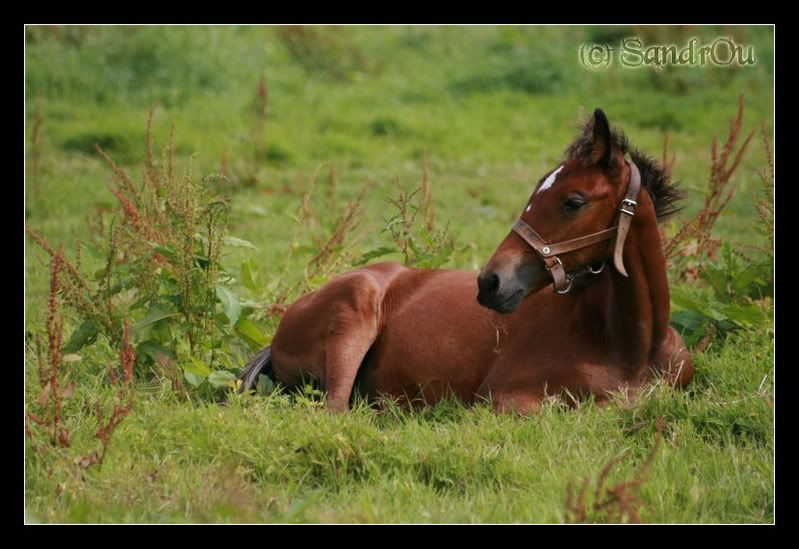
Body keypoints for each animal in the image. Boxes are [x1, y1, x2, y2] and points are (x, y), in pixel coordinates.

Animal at [238, 109, 692, 414]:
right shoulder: (505, 400)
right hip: (354, 316)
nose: (490, 282)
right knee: (337, 409)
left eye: (573, 202)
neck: (629, 347)